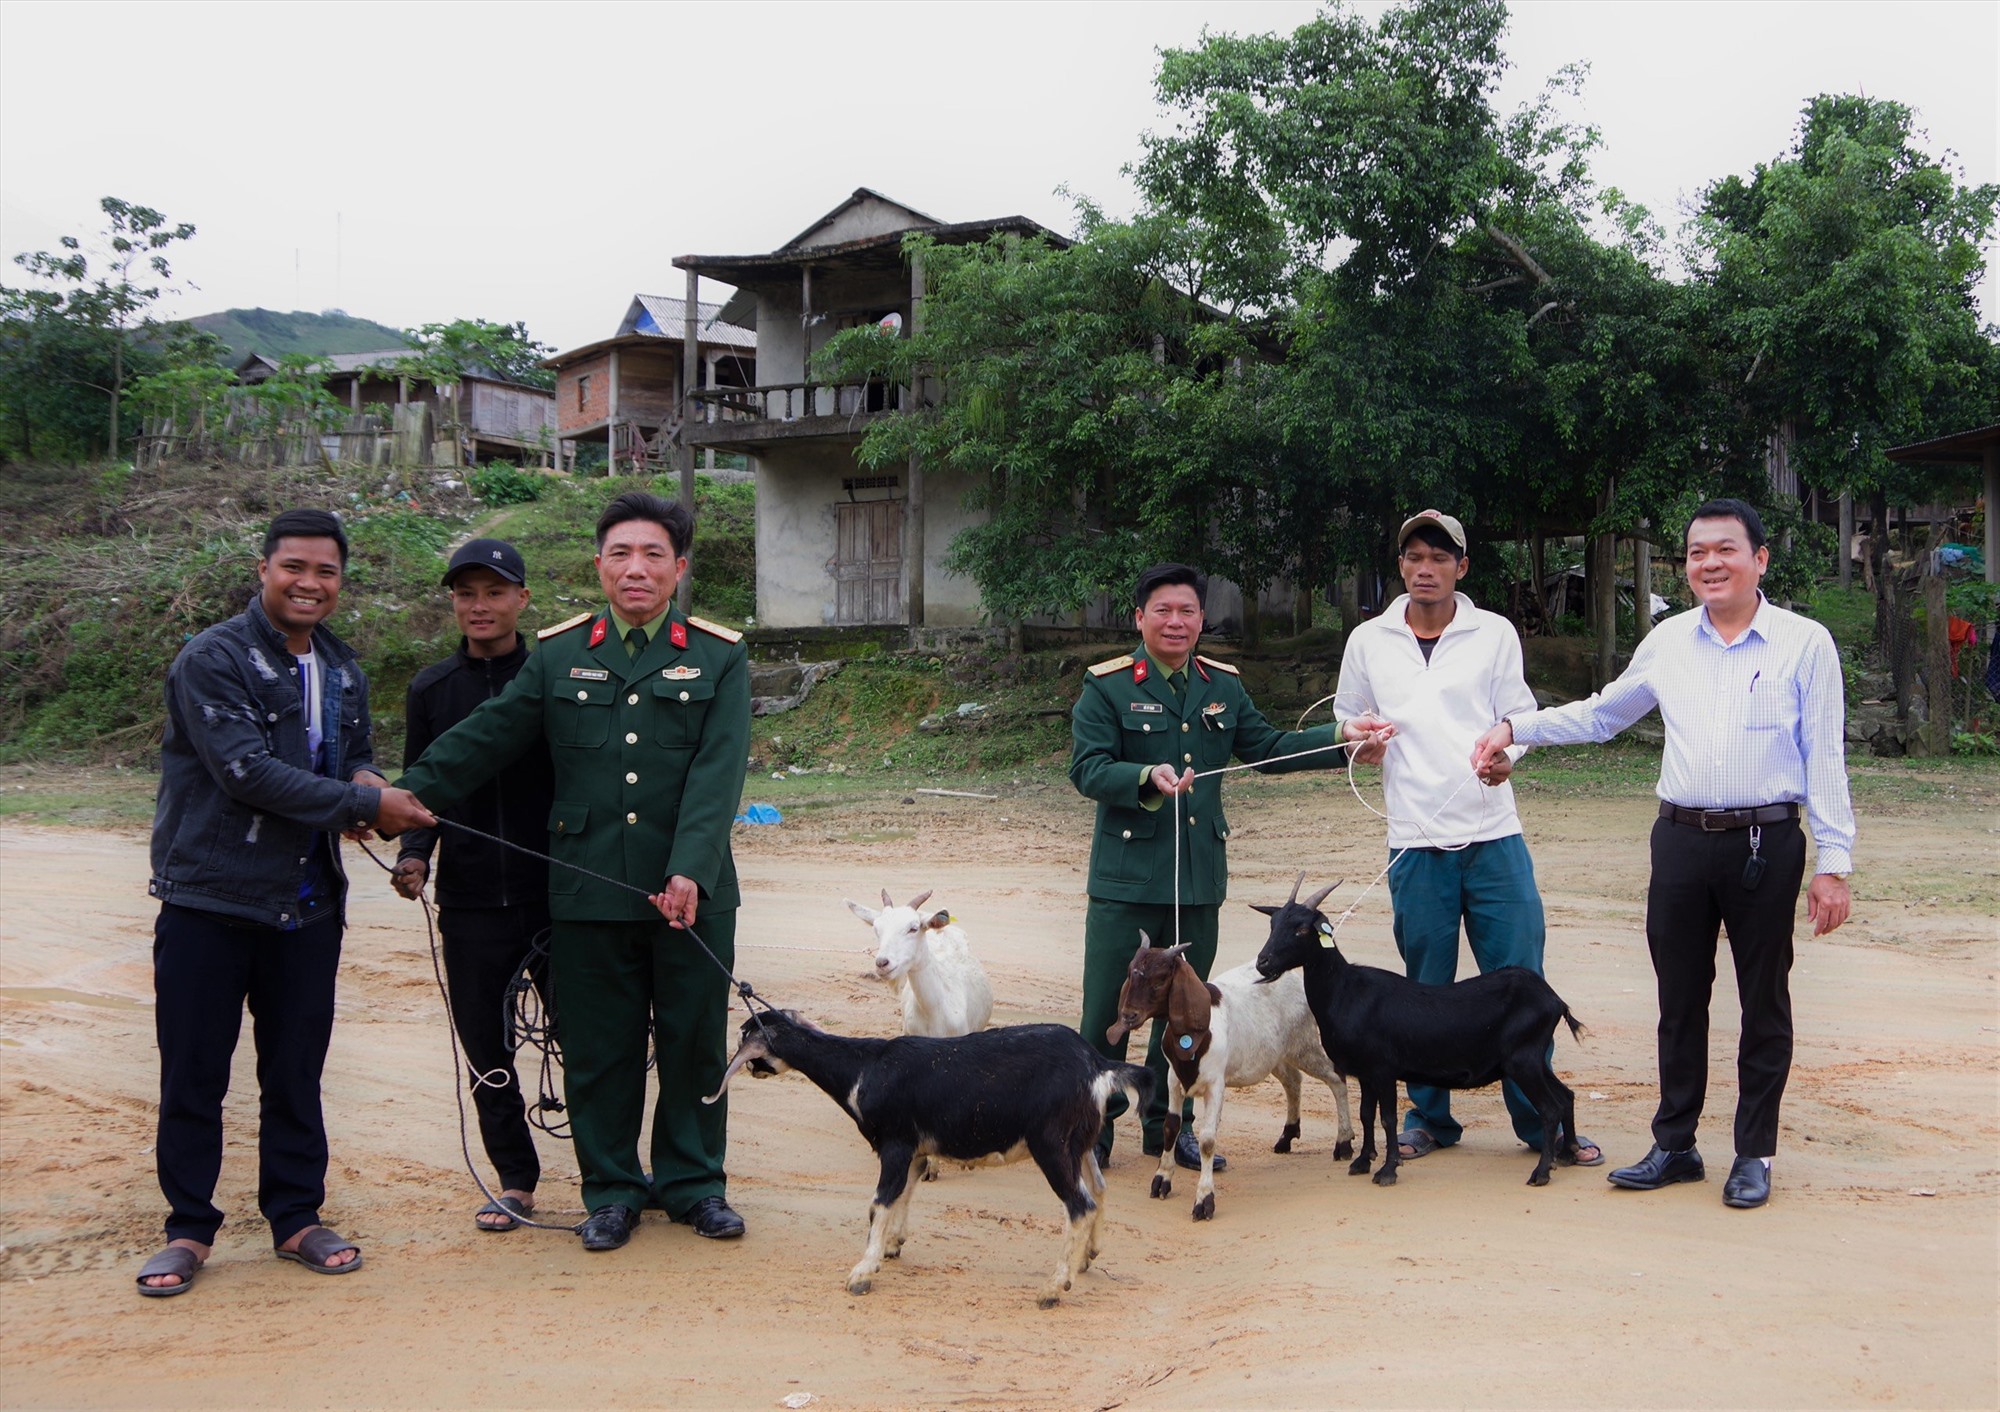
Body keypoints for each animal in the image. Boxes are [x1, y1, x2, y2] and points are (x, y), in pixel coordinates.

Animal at [712, 1008, 1160, 1304]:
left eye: (742, 1038)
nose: (749, 1069)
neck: (863, 1069)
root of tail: (1097, 1065)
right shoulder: (912, 1150)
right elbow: (904, 1194)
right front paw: (892, 1245)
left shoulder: (894, 1144)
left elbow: (878, 1203)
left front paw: (862, 1272)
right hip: (1078, 1142)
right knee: (1098, 1189)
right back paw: (1087, 1257)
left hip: (1050, 1144)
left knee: (1079, 1204)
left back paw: (1054, 1287)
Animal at [1248, 868, 1592, 1184]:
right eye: (1273, 924)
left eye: (1302, 929)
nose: (1263, 962)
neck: (1346, 991)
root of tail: (1554, 999)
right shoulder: (1365, 1072)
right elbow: (1366, 1115)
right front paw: (1362, 1161)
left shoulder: (1383, 1068)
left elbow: (1388, 1118)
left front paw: (1387, 1170)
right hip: (1535, 1057)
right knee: (1566, 1097)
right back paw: (1568, 1153)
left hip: (1523, 1060)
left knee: (1549, 1108)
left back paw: (1542, 1172)